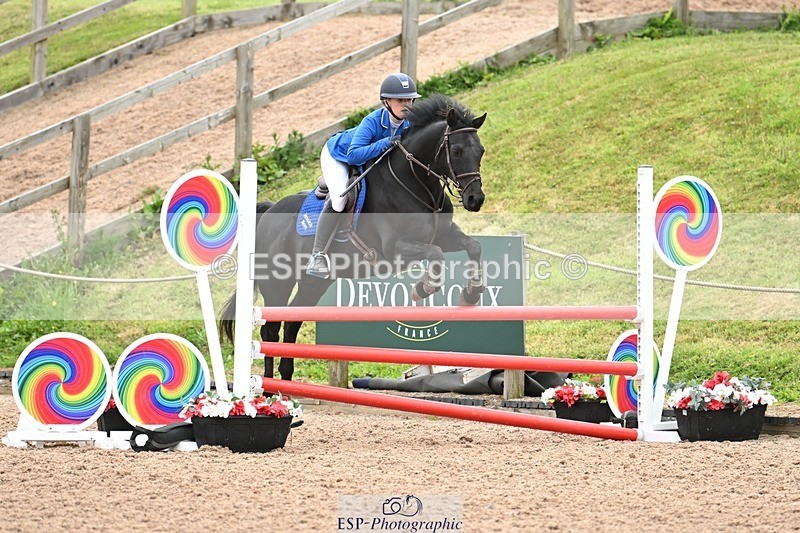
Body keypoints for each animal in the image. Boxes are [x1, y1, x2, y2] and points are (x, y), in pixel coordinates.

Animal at [220, 94, 488, 381]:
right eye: (457, 151)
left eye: (480, 151)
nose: (475, 199)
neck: (416, 183)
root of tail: (269, 211)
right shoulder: (396, 249)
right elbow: (435, 255)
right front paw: (423, 288)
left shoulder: (444, 236)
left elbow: (473, 246)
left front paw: (471, 294)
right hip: (276, 283)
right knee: (270, 329)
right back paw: (269, 387)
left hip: (313, 284)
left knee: (292, 323)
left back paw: (286, 379)